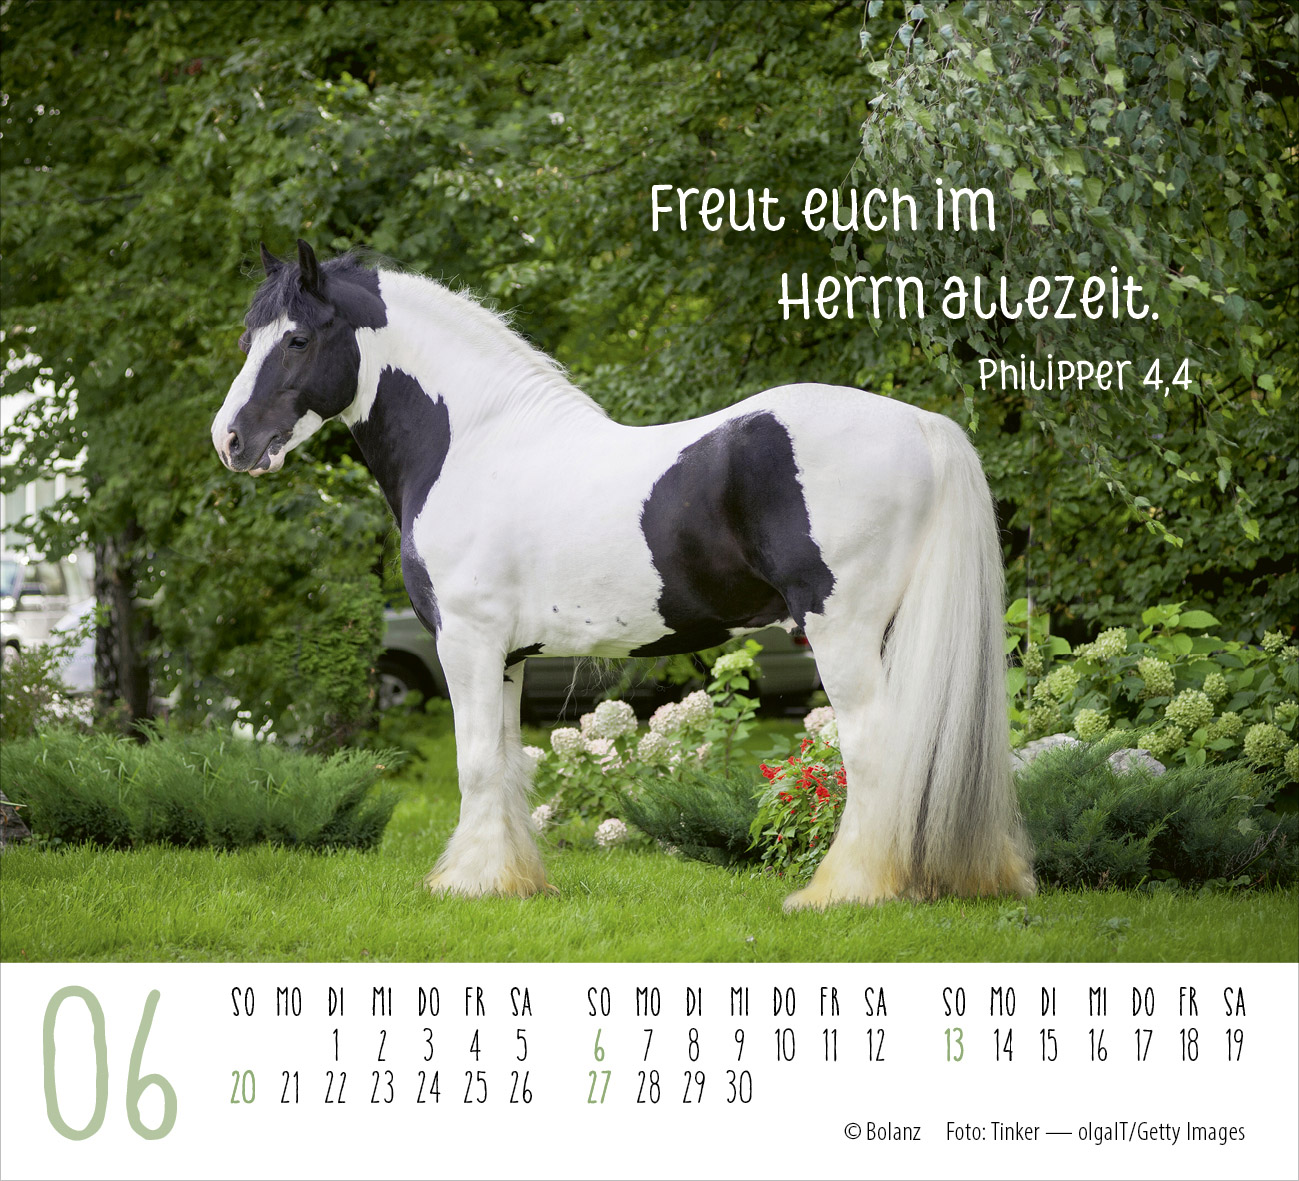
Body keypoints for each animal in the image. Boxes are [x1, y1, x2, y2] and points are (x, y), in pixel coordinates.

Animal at [211, 240, 1035, 909]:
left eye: (298, 338)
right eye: (248, 337)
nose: (231, 440)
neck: (472, 442)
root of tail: (920, 424)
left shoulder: (465, 643)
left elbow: (475, 764)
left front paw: (466, 884)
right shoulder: (506, 655)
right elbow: (506, 765)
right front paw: (512, 881)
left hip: (844, 632)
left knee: (873, 751)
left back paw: (846, 891)